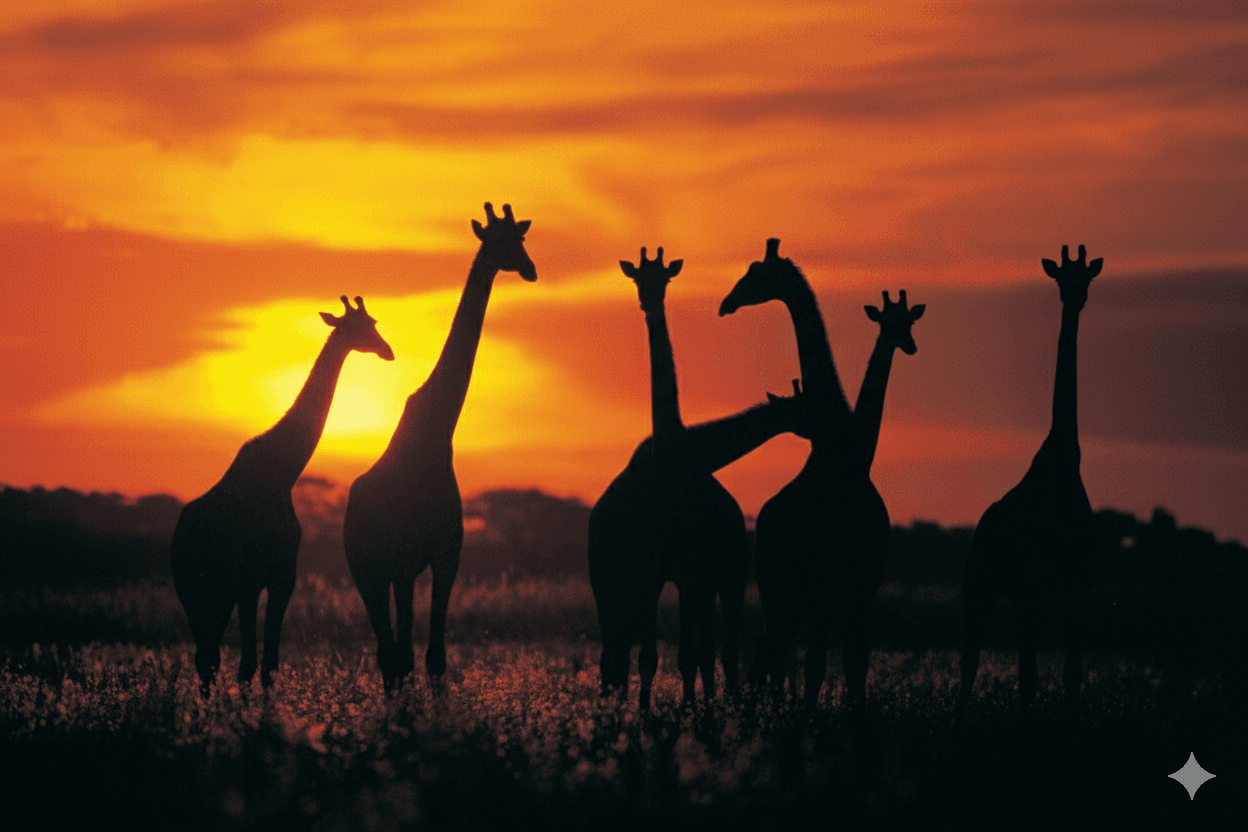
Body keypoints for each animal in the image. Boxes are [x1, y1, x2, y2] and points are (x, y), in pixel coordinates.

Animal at [172, 296, 394, 691]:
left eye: (373, 322)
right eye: (361, 327)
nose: (388, 351)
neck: (282, 475)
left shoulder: (281, 576)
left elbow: (268, 664)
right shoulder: (249, 580)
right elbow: (247, 665)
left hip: (215, 593)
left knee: (208, 657)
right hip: (195, 590)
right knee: (206, 658)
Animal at [344, 203, 536, 692]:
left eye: (522, 239)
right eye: (498, 241)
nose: (530, 269)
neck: (436, 432)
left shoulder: (447, 555)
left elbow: (434, 658)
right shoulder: (407, 560)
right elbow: (412, 655)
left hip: (385, 573)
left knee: (391, 652)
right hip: (366, 571)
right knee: (388, 652)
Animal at [589, 246, 809, 709]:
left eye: (665, 280)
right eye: (638, 279)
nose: (650, 302)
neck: (670, 458)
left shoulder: (691, 573)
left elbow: (688, 654)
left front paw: (683, 709)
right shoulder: (655, 571)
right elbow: (653, 656)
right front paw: (647, 712)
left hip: (724, 578)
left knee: (711, 650)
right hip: (609, 576)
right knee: (615, 650)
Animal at [718, 239, 922, 708]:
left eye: (756, 273)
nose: (726, 303)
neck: (841, 457)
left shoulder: (864, 578)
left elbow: (854, 662)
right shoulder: (823, 579)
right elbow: (816, 664)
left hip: (798, 593)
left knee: (777, 651)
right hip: (779, 585)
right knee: (772, 650)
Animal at [956, 245, 1101, 721]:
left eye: (1086, 279)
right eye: (1060, 280)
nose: (1075, 299)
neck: (1065, 461)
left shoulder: (1077, 579)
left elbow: (1071, 674)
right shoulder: (1029, 583)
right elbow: (1029, 678)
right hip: (979, 584)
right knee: (970, 658)